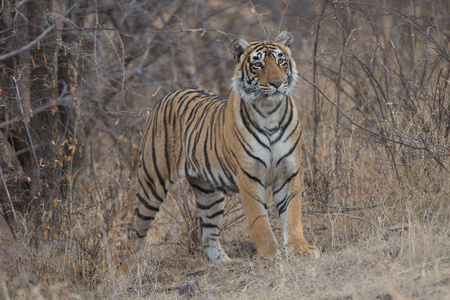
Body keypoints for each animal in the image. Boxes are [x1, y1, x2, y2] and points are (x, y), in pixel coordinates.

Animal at [132, 29, 318, 264]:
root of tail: (165, 96)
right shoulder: (248, 176)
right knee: (136, 231)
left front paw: (300, 250)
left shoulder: (289, 172)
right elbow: (259, 221)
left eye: (281, 61)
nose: (277, 83)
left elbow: (293, 216)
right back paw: (133, 268)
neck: (270, 111)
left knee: (207, 236)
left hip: (209, 193)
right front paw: (270, 255)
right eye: (258, 64)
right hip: (152, 184)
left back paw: (228, 264)